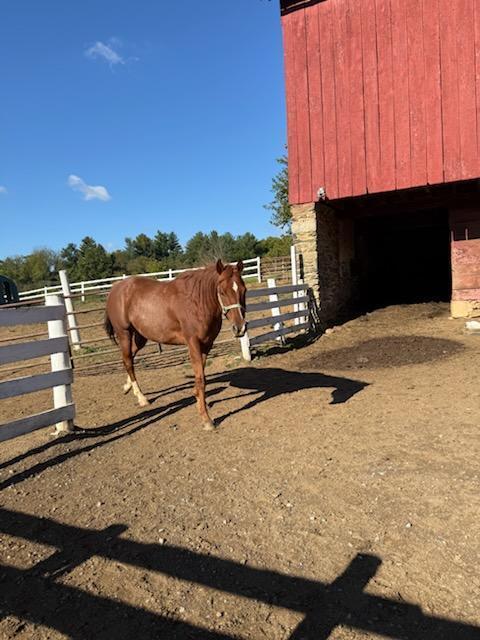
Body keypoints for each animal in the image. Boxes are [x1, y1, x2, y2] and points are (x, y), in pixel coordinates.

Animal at [104, 260, 247, 430]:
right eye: (222, 291)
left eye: (244, 290)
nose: (240, 328)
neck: (197, 302)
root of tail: (116, 288)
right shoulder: (193, 343)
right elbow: (201, 379)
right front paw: (207, 420)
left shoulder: (207, 344)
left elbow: (201, 377)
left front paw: (199, 402)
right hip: (124, 333)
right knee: (127, 360)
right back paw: (141, 398)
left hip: (141, 336)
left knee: (129, 357)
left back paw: (127, 387)